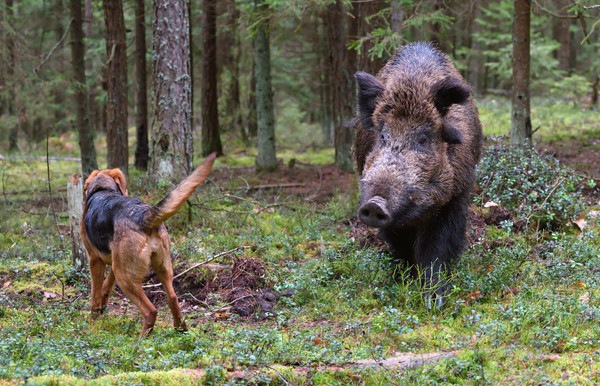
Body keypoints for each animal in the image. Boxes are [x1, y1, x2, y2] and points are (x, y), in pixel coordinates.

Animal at [81, 154, 217, 334]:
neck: (103, 190)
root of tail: (144, 215)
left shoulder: (95, 260)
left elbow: (95, 291)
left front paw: (94, 316)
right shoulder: (114, 262)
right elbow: (106, 286)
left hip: (126, 278)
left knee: (150, 310)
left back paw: (142, 338)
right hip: (160, 269)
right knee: (173, 298)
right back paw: (180, 329)